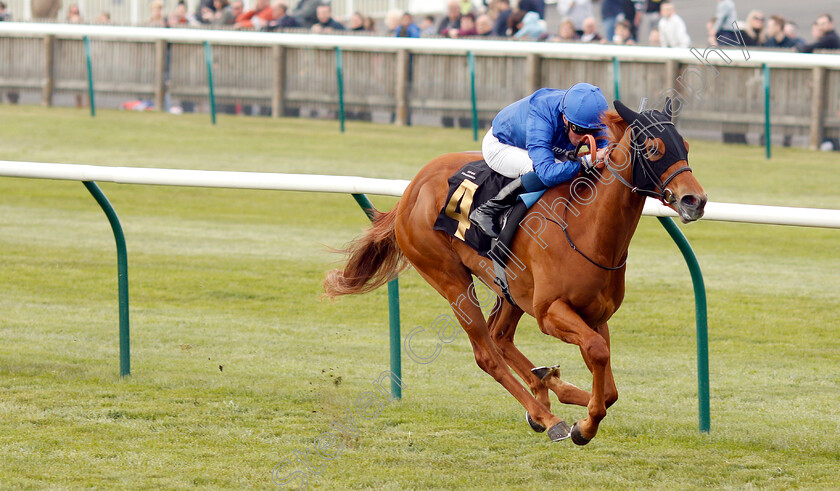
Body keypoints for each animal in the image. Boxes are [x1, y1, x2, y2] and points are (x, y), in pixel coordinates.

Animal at [324, 100, 704, 446]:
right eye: (653, 149)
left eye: (686, 146)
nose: (695, 200)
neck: (586, 228)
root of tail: (410, 191)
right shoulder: (550, 312)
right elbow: (597, 353)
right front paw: (583, 426)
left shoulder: (595, 314)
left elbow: (608, 386)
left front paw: (576, 402)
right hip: (450, 279)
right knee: (487, 353)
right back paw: (547, 417)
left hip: (511, 289)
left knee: (500, 336)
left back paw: (546, 388)